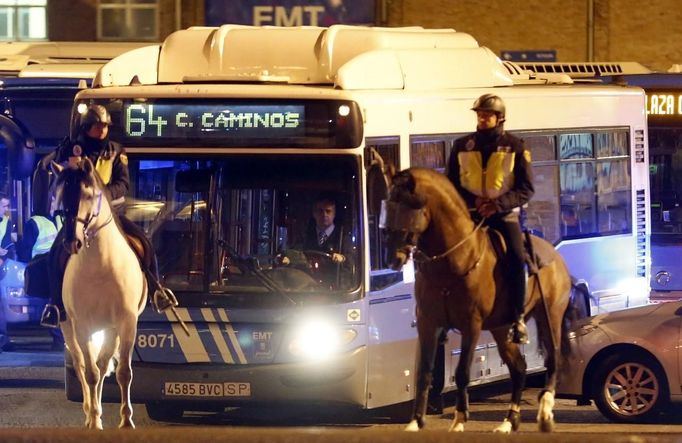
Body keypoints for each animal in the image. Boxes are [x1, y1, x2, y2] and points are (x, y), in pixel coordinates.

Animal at [53, 160, 147, 430]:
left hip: (111, 329)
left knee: (104, 364)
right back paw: (89, 412)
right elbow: (90, 373)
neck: (101, 264)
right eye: (60, 195)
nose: (71, 242)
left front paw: (126, 421)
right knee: (82, 365)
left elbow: (123, 372)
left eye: (88, 194)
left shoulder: (126, 322)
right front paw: (94, 420)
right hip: (69, 327)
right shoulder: (82, 325)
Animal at [382, 166, 572, 434]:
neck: (453, 263)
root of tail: (555, 256)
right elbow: (424, 372)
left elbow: (462, 372)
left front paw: (459, 419)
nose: (392, 258)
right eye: (389, 204)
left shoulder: (470, 324)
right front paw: (416, 422)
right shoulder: (427, 323)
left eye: (413, 205)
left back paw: (545, 412)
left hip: (550, 317)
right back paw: (509, 421)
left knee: (553, 359)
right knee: (519, 368)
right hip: (502, 328)